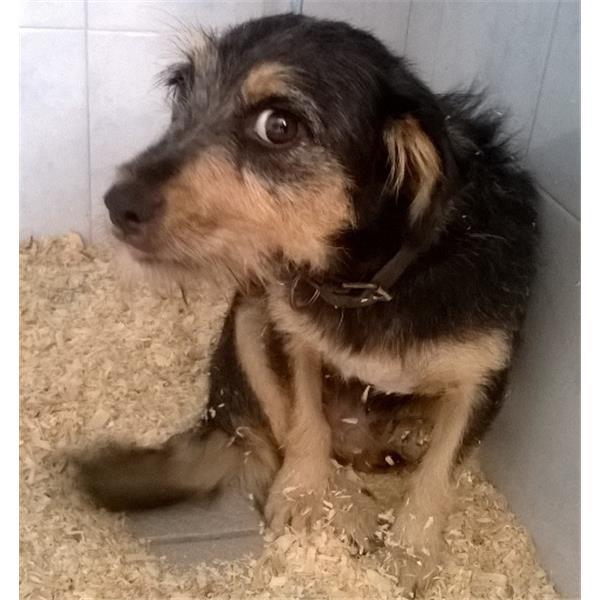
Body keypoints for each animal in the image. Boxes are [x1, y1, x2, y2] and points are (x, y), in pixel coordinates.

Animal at [77, 13, 538, 595]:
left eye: (279, 126)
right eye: (182, 92)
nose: (118, 205)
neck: (365, 282)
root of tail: (217, 416)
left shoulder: (483, 376)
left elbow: (438, 474)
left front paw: (412, 552)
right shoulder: (290, 334)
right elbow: (304, 422)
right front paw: (304, 495)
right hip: (248, 319)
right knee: (272, 438)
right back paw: (344, 502)